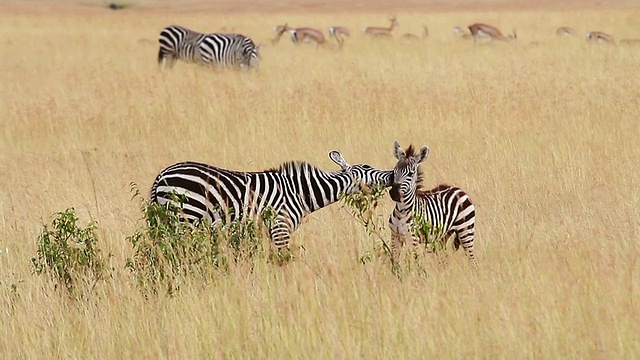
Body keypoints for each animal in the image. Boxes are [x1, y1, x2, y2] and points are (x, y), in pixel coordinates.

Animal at [151, 150, 390, 249]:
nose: (392, 174)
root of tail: (162, 175)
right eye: (367, 166)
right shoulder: (280, 226)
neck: (299, 192)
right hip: (185, 217)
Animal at [388, 141, 478, 270]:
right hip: (445, 234)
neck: (402, 211)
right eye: (394, 171)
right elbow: (394, 263)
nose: (394, 193)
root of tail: (459, 190)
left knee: (472, 259)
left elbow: (415, 262)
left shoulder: (413, 238)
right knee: (443, 256)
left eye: (410, 174)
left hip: (466, 230)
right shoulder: (395, 236)